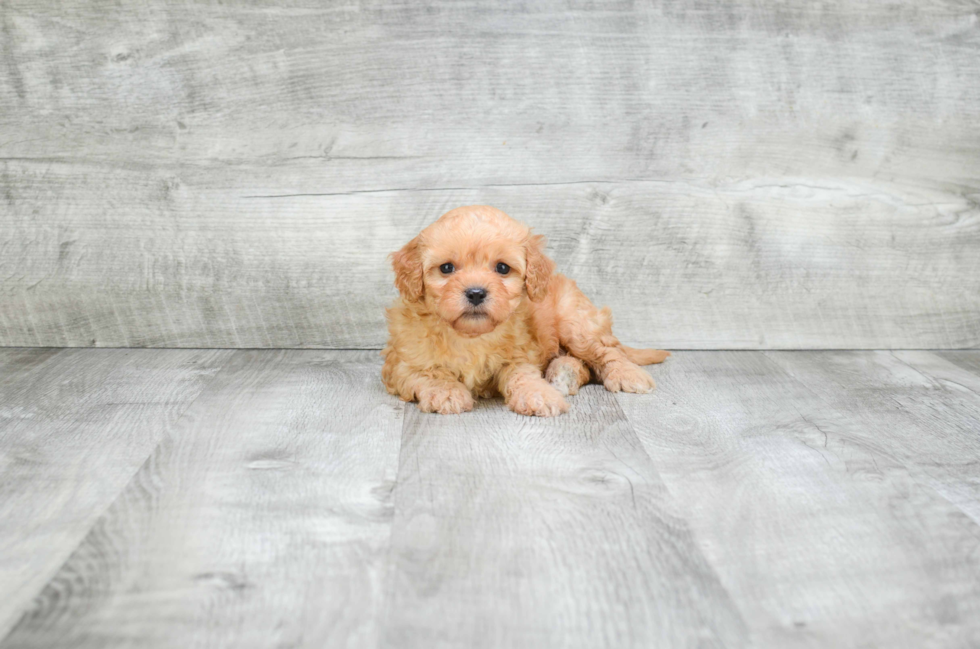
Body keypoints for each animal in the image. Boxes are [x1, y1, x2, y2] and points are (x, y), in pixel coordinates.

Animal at [378, 205, 668, 416]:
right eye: (446, 268)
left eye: (502, 268)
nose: (476, 293)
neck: (470, 336)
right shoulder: (403, 364)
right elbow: (430, 373)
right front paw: (446, 392)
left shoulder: (519, 356)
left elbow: (523, 376)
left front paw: (539, 395)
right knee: (583, 366)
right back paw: (563, 374)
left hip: (576, 324)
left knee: (607, 352)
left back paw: (625, 375)